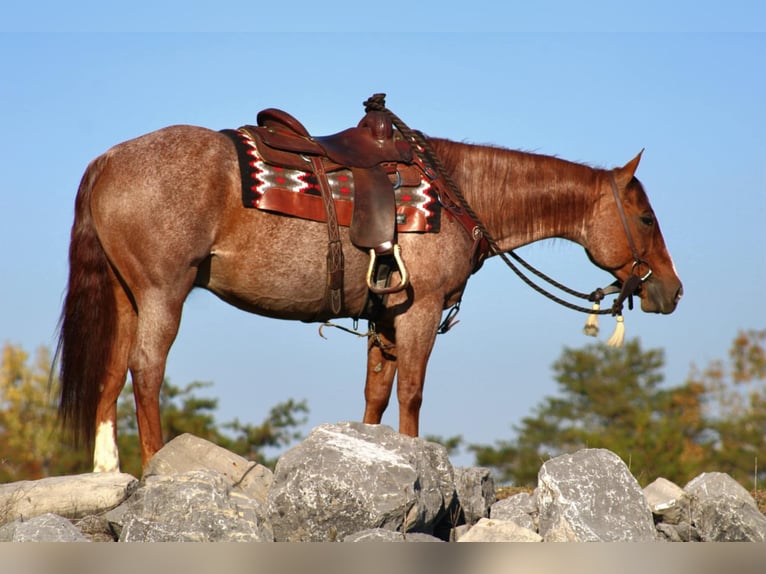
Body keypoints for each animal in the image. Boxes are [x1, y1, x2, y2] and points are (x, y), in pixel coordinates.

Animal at [58, 101, 684, 474]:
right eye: (647, 218)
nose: (672, 291)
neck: (457, 193)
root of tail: (107, 161)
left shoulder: (384, 319)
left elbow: (375, 400)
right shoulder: (419, 312)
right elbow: (411, 395)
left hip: (126, 296)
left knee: (111, 373)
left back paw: (107, 472)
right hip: (163, 293)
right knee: (146, 370)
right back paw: (155, 465)